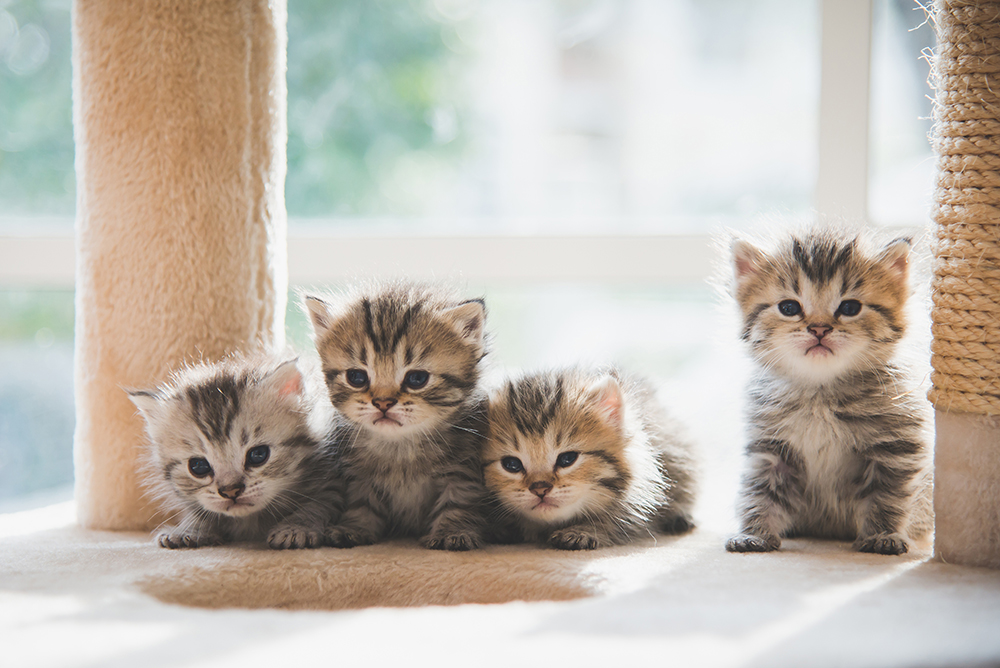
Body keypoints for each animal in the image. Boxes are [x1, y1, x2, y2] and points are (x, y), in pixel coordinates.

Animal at [129, 354, 344, 548]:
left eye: (258, 455)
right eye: (198, 466)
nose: (231, 491)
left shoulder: (333, 480)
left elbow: (318, 504)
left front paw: (296, 527)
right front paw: (188, 529)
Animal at [304, 280, 492, 552]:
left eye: (417, 379)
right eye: (356, 377)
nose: (383, 402)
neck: (400, 447)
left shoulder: (462, 470)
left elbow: (457, 501)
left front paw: (452, 531)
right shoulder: (359, 476)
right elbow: (362, 504)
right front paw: (354, 527)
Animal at [724, 227, 932, 556]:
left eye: (849, 308)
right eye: (789, 308)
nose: (819, 329)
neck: (820, 392)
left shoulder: (895, 448)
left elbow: (887, 496)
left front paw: (882, 535)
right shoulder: (770, 449)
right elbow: (759, 493)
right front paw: (754, 533)